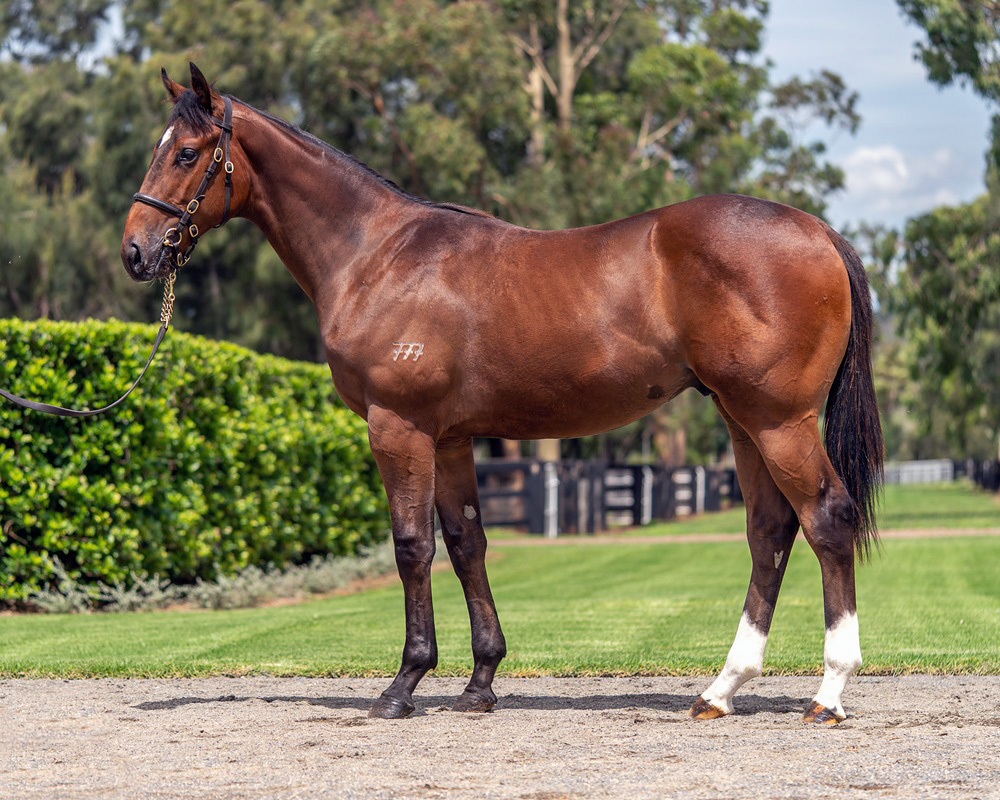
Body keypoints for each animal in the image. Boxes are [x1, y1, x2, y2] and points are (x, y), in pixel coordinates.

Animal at [123, 64, 884, 724]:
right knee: (770, 533)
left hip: (779, 420)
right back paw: (721, 690)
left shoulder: (398, 429)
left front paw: (403, 684)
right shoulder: (452, 439)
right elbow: (467, 543)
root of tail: (819, 230)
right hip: (741, 418)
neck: (378, 255)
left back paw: (829, 691)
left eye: (186, 152)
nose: (136, 252)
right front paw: (480, 681)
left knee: (827, 519)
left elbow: (412, 547)